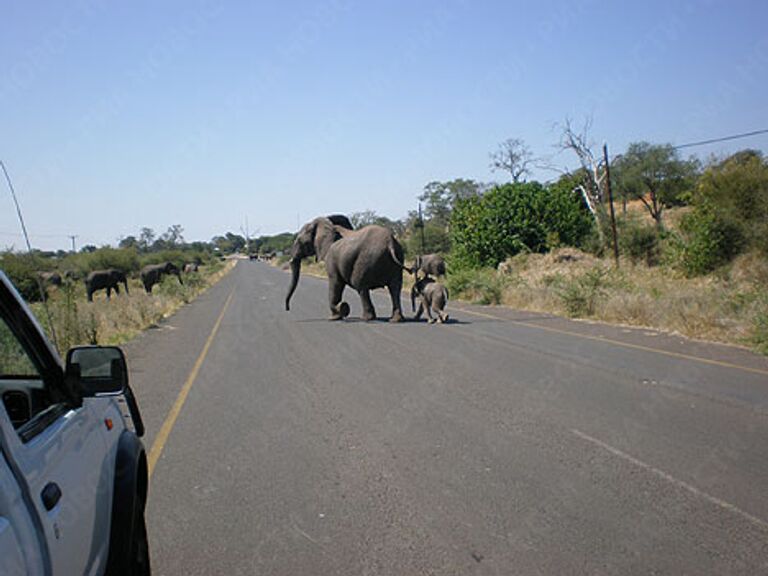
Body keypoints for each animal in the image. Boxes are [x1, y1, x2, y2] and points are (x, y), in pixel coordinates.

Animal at [284, 215, 412, 322]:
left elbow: (336, 283)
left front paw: (335, 316)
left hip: (367, 259)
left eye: (301, 241)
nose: (287, 309)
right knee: (395, 288)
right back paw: (396, 320)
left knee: (361, 286)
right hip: (397, 257)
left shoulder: (331, 257)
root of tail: (390, 242)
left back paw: (367, 319)